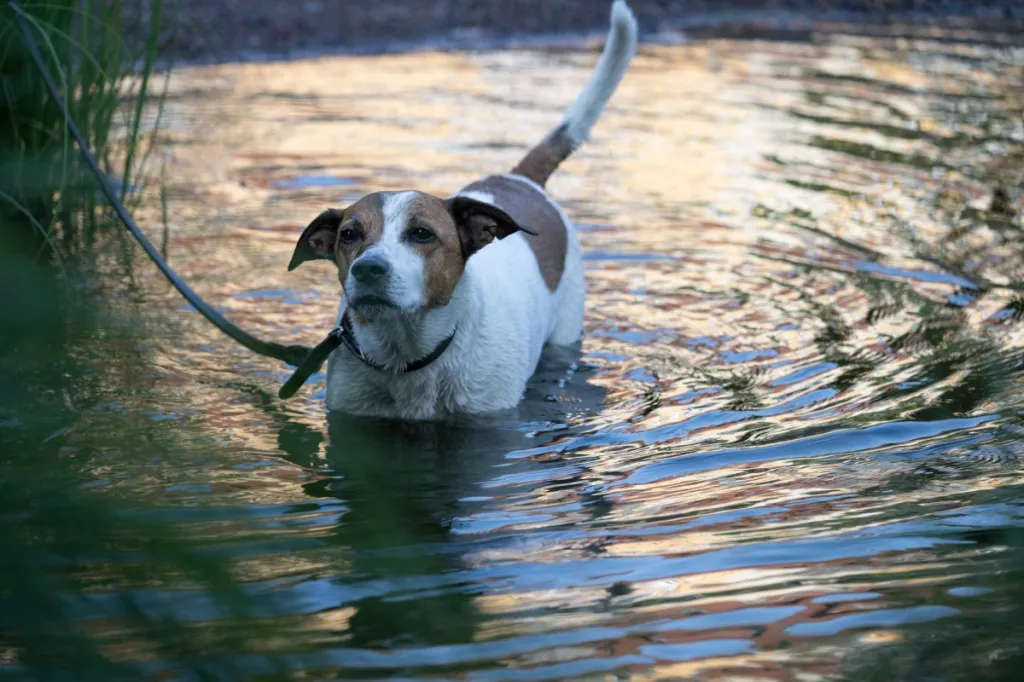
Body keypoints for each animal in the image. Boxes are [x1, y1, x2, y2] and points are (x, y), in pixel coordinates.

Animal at [288, 0, 634, 417]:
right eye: (349, 235)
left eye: (422, 233)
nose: (368, 269)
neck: (407, 355)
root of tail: (518, 178)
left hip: (565, 329)